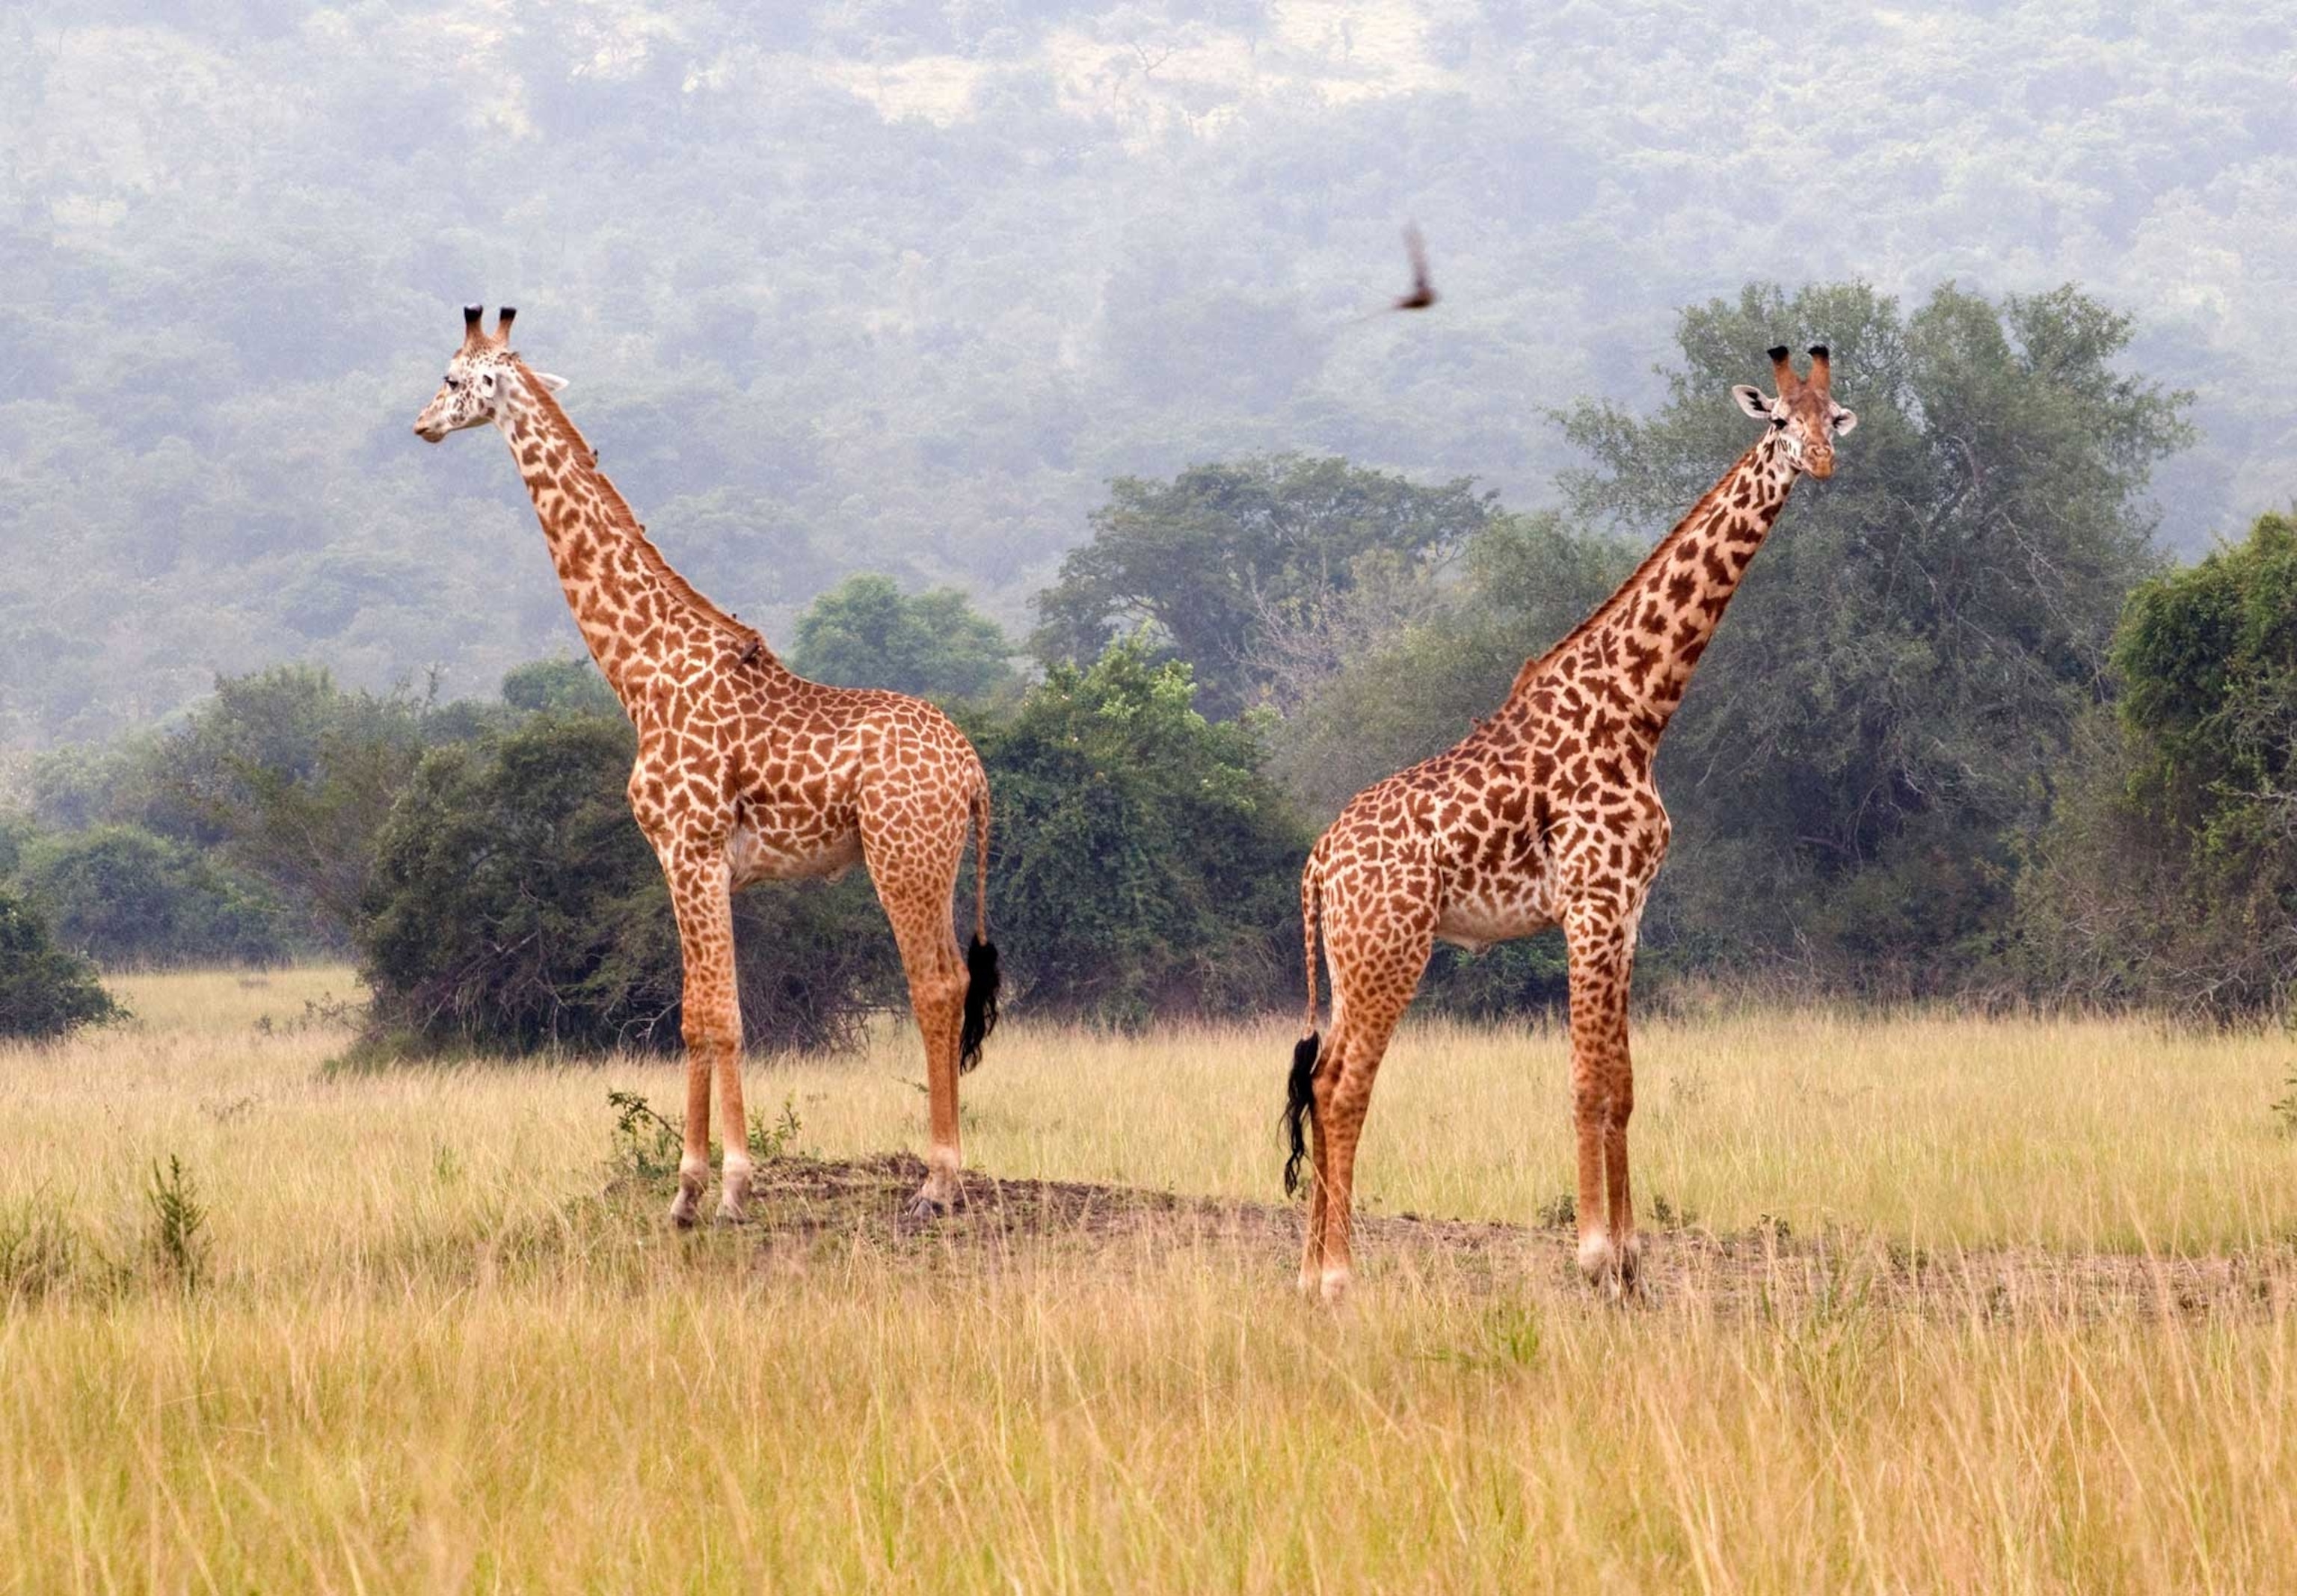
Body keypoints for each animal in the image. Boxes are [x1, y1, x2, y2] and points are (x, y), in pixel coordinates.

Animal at [413, 305, 1000, 1225]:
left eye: (450, 378)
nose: (421, 425)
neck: (640, 671)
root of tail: (974, 772)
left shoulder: (689, 847)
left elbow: (717, 1013)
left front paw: (727, 1187)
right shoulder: (686, 859)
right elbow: (693, 1011)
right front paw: (686, 1192)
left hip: (904, 857)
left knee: (936, 985)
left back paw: (937, 1182)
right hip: (930, 863)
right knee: (951, 981)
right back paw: (943, 1178)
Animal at [1282, 345, 1856, 1302]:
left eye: (1832, 416)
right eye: (1778, 421)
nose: (1819, 462)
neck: (1638, 710)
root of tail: (1320, 860)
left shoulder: (1627, 911)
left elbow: (1623, 1083)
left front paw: (1630, 1261)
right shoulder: (1590, 902)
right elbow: (1587, 1081)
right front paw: (1592, 1256)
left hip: (1350, 954)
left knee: (1318, 1077)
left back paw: (1303, 1271)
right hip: (1390, 948)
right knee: (1342, 1085)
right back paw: (1338, 1275)